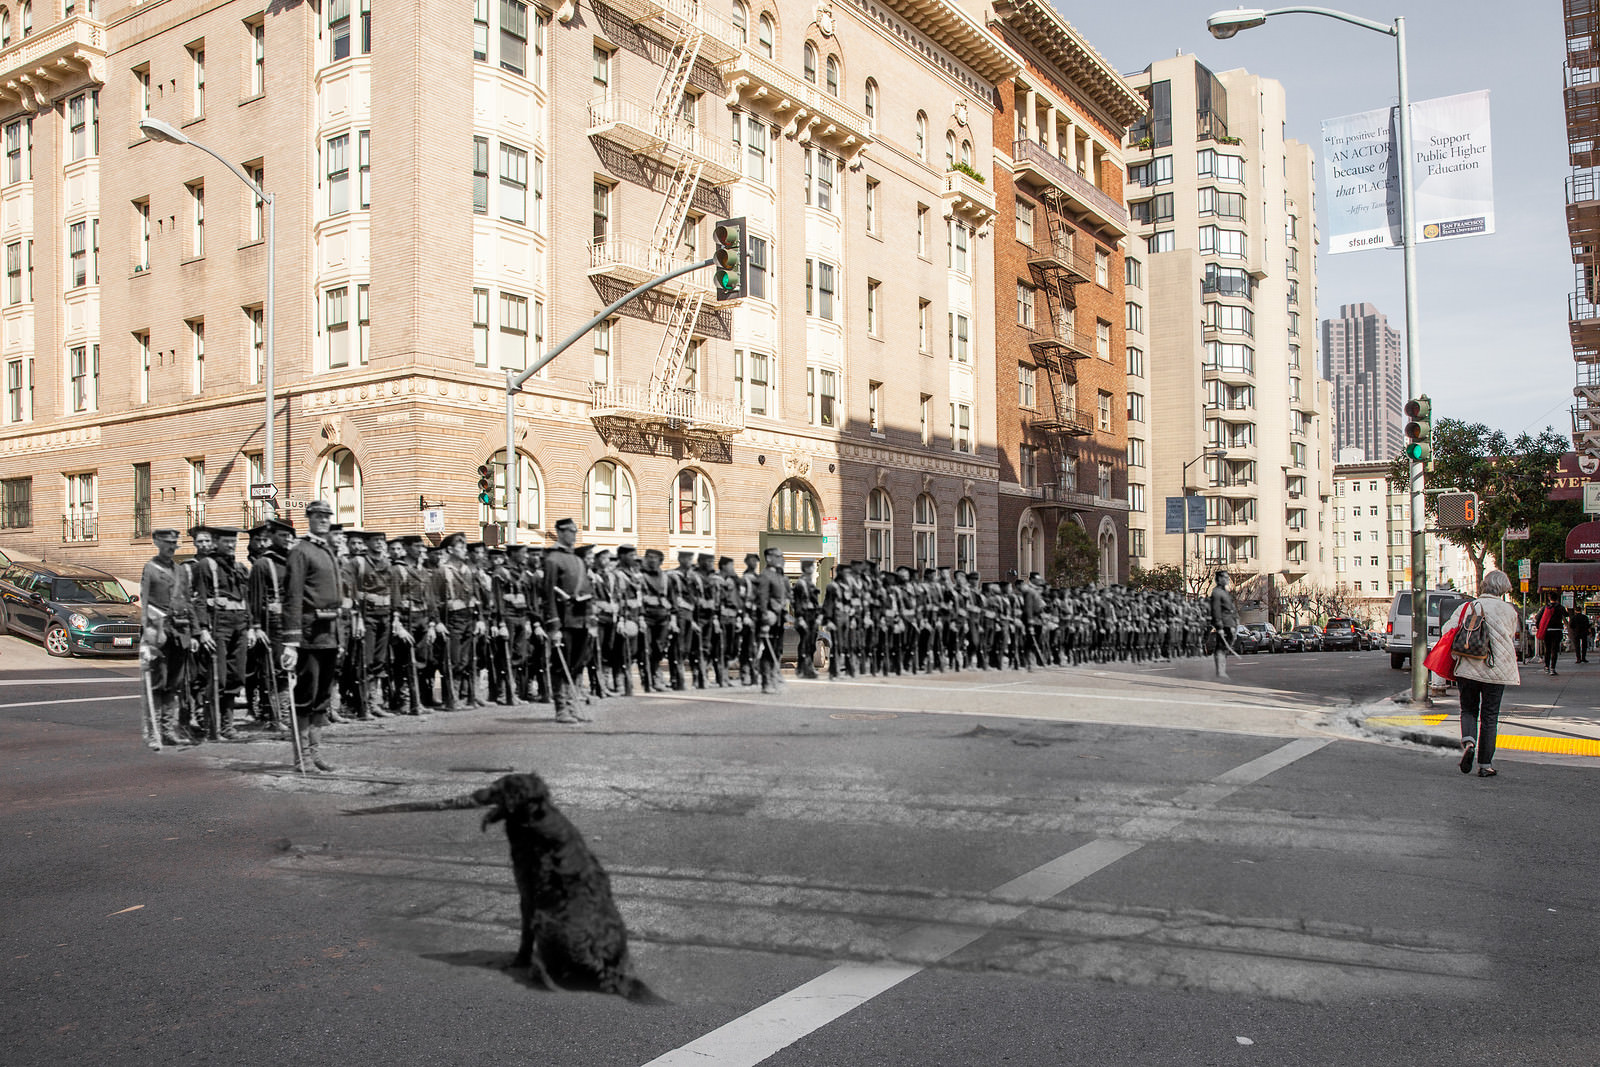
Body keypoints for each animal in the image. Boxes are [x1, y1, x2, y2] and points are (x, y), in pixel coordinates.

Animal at [353, 767, 659, 1004]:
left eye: (495, 788)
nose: (475, 794)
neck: (535, 819)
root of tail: (608, 965)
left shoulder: (526, 894)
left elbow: (524, 937)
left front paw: (519, 961)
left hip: (544, 919)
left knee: (555, 971)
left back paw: (537, 972)